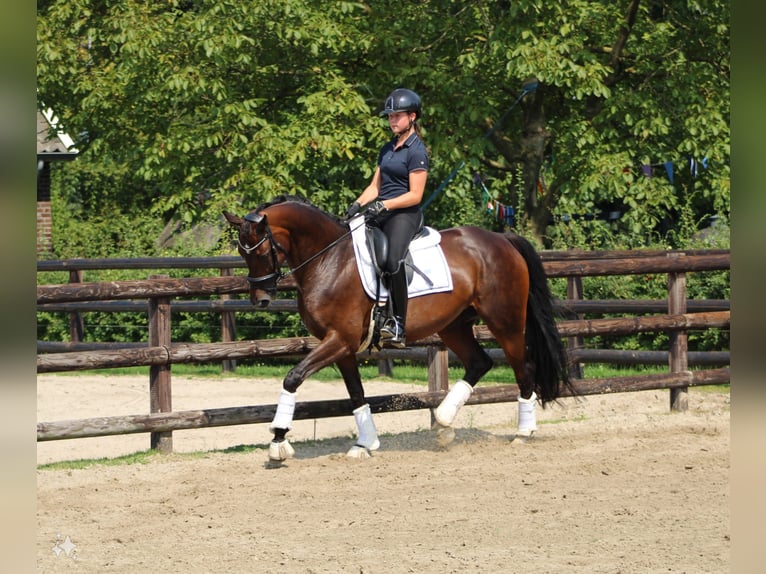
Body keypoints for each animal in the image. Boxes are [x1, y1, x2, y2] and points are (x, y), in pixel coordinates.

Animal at [225, 195, 572, 464]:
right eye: (242, 253)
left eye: (259, 251)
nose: (260, 300)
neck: (329, 260)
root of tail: (502, 239)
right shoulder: (341, 345)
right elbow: (356, 393)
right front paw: (365, 444)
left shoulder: (339, 340)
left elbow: (293, 377)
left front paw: (278, 441)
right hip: (454, 325)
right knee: (480, 362)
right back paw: (444, 423)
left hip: (506, 321)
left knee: (523, 368)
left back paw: (523, 433)